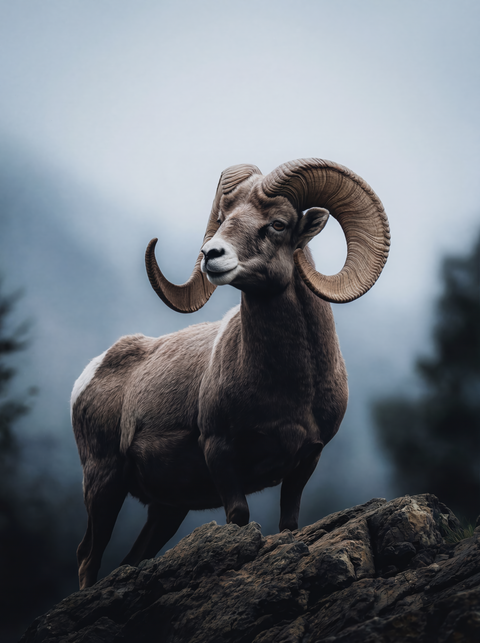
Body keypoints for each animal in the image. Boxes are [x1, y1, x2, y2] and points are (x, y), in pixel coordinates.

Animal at [71, 158, 390, 589]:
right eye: (223, 219)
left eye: (277, 224)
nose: (211, 254)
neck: (290, 388)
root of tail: (91, 373)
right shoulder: (219, 452)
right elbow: (239, 518)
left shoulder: (306, 460)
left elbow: (289, 523)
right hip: (104, 482)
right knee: (88, 558)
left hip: (166, 510)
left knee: (128, 559)